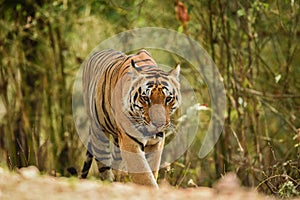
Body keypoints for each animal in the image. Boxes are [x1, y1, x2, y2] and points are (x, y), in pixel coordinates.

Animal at [79, 48, 180, 188]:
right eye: (146, 98)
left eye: (168, 98)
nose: (158, 124)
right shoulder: (130, 141)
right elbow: (144, 176)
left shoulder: (156, 143)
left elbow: (151, 170)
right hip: (98, 132)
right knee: (103, 163)